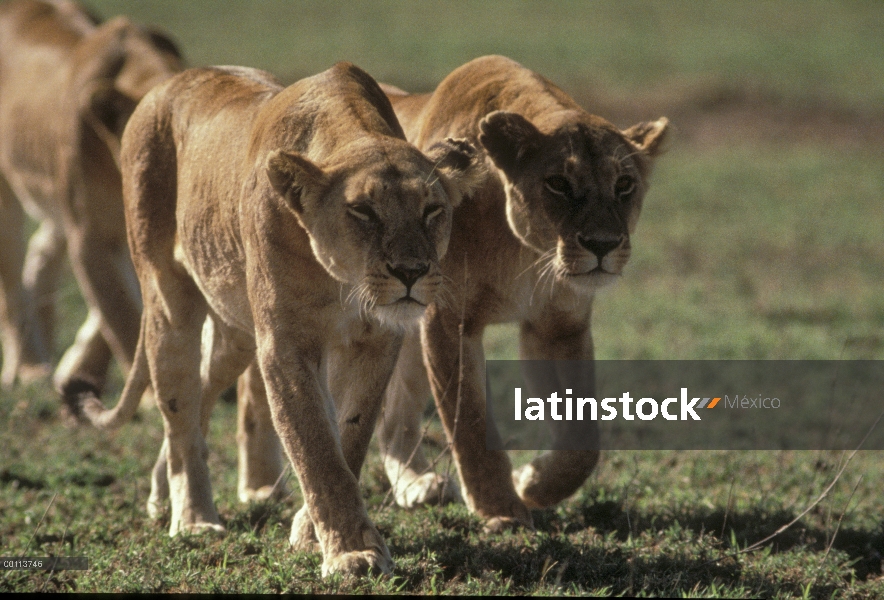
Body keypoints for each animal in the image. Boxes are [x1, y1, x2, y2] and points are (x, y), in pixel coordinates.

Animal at [0, 0, 180, 392]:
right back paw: (29, 369)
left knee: (41, 254)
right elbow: (121, 313)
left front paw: (78, 370)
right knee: (12, 285)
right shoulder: (89, 233)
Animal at [71, 63, 480, 580]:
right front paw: (351, 553)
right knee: (178, 411)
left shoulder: (375, 340)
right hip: (168, 299)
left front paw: (312, 533)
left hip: (235, 333)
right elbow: (316, 447)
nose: (411, 272)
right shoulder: (285, 344)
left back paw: (163, 492)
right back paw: (194, 520)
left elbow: (349, 437)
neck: (343, 281)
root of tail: (167, 84)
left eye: (432, 210)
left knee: (200, 392)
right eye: (362, 211)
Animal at [370, 56, 672, 524]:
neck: (526, 251)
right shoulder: (449, 321)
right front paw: (500, 510)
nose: (602, 244)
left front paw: (534, 483)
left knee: (393, 416)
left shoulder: (557, 326)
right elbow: (469, 421)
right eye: (558, 184)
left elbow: (583, 438)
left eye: (624, 185)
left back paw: (418, 486)